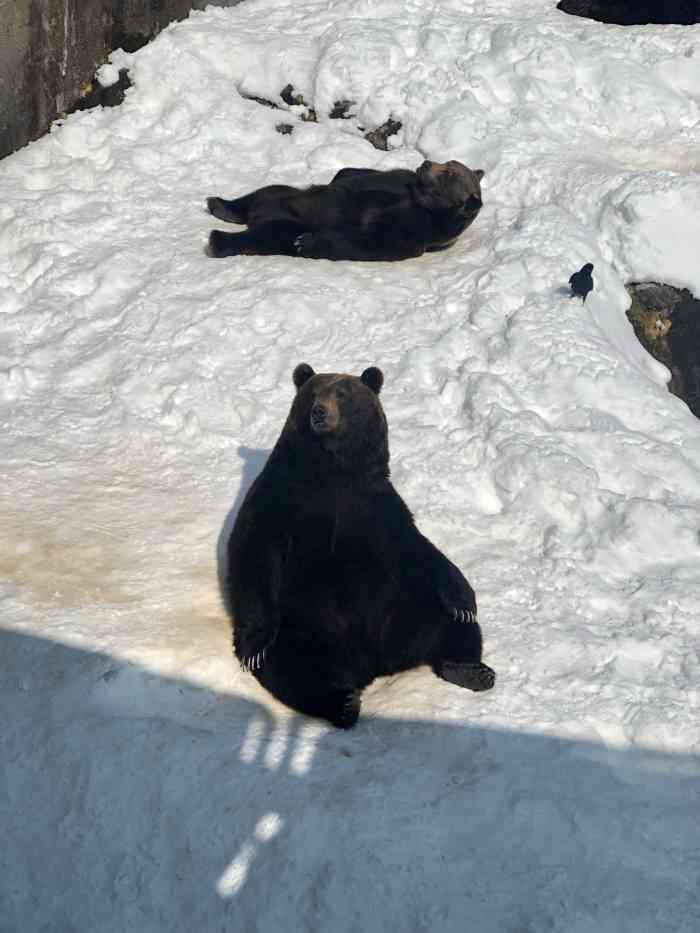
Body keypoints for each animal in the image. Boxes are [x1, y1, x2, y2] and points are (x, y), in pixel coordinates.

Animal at [205, 160, 484, 260]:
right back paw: (220, 204)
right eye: (446, 164)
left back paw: (218, 240)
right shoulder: (398, 182)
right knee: (263, 192)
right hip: (286, 196)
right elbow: (353, 174)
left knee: (266, 235)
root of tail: (258, 215)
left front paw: (306, 242)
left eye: (448, 174)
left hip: (287, 221)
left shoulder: (414, 228)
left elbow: (369, 239)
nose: (425, 163)